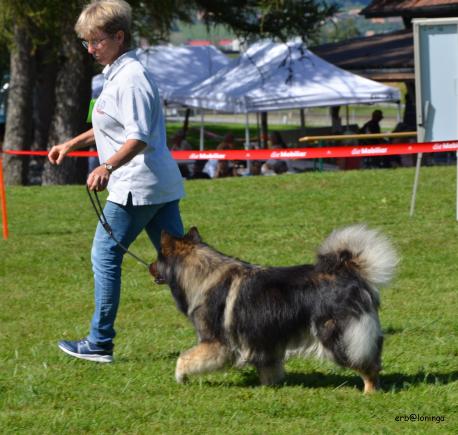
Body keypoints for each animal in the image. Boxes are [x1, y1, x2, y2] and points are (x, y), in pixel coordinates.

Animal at [150, 225, 398, 396]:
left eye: (158, 258)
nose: (149, 267)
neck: (202, 273)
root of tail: (350, 272)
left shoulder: (216, 343)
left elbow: (184, 358)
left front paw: (180, 377)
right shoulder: (264, 340)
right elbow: (269, 367)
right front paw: (271, 387)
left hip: (338, 336)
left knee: (367, 365)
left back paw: (369, 392)